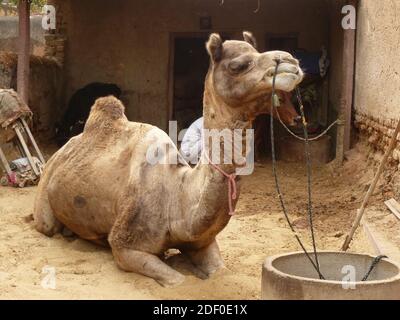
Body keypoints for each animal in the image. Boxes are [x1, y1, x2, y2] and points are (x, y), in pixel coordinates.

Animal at [34, 33, 304, 288]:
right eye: (239, 65)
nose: (291, 62)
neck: (178, 199)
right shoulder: (125, 246)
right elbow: (178, 280)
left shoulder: (203, 242)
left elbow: (220, 272)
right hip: (45, 199)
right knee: (46, 225)